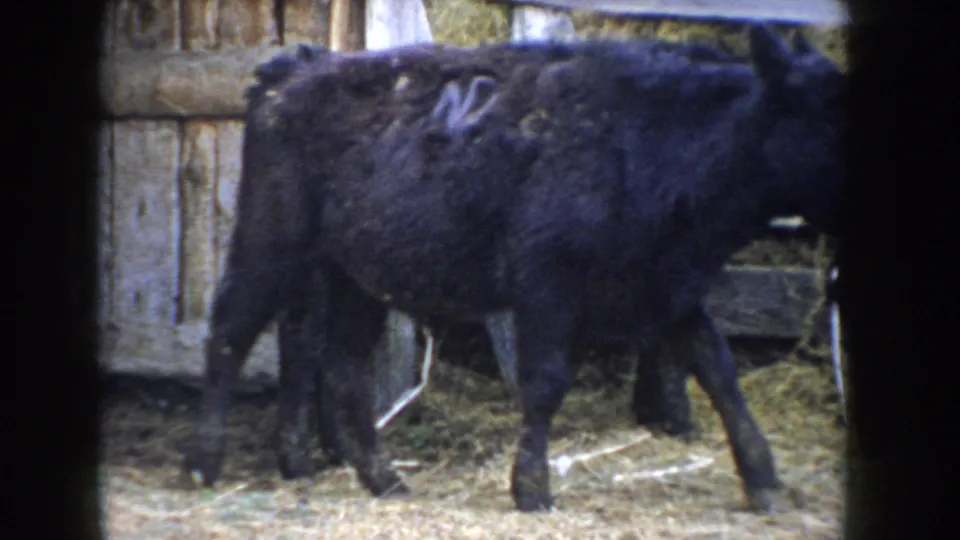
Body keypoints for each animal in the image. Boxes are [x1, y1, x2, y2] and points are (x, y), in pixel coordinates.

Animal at [185, 23, 844, 514]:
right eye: (826, 112)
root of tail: (293, 70)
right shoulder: (546, 286)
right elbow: (546, 384)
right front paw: (531, 488)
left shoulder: (669, 289)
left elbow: (721, 373)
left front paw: (764, 482)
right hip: (271, 240)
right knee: (231, 331)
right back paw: (203, 464)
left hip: (352, 274)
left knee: (339, 361)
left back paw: (381, 478)